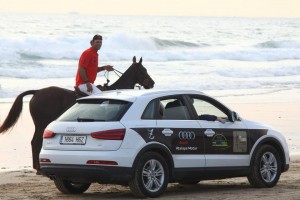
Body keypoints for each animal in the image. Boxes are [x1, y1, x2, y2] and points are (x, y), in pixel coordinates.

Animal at [0, 56, 155, 170]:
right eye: (143, 70)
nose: (152, 83)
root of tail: (37, 92)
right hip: (42, 124)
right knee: (35, 142)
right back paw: (37, 167)